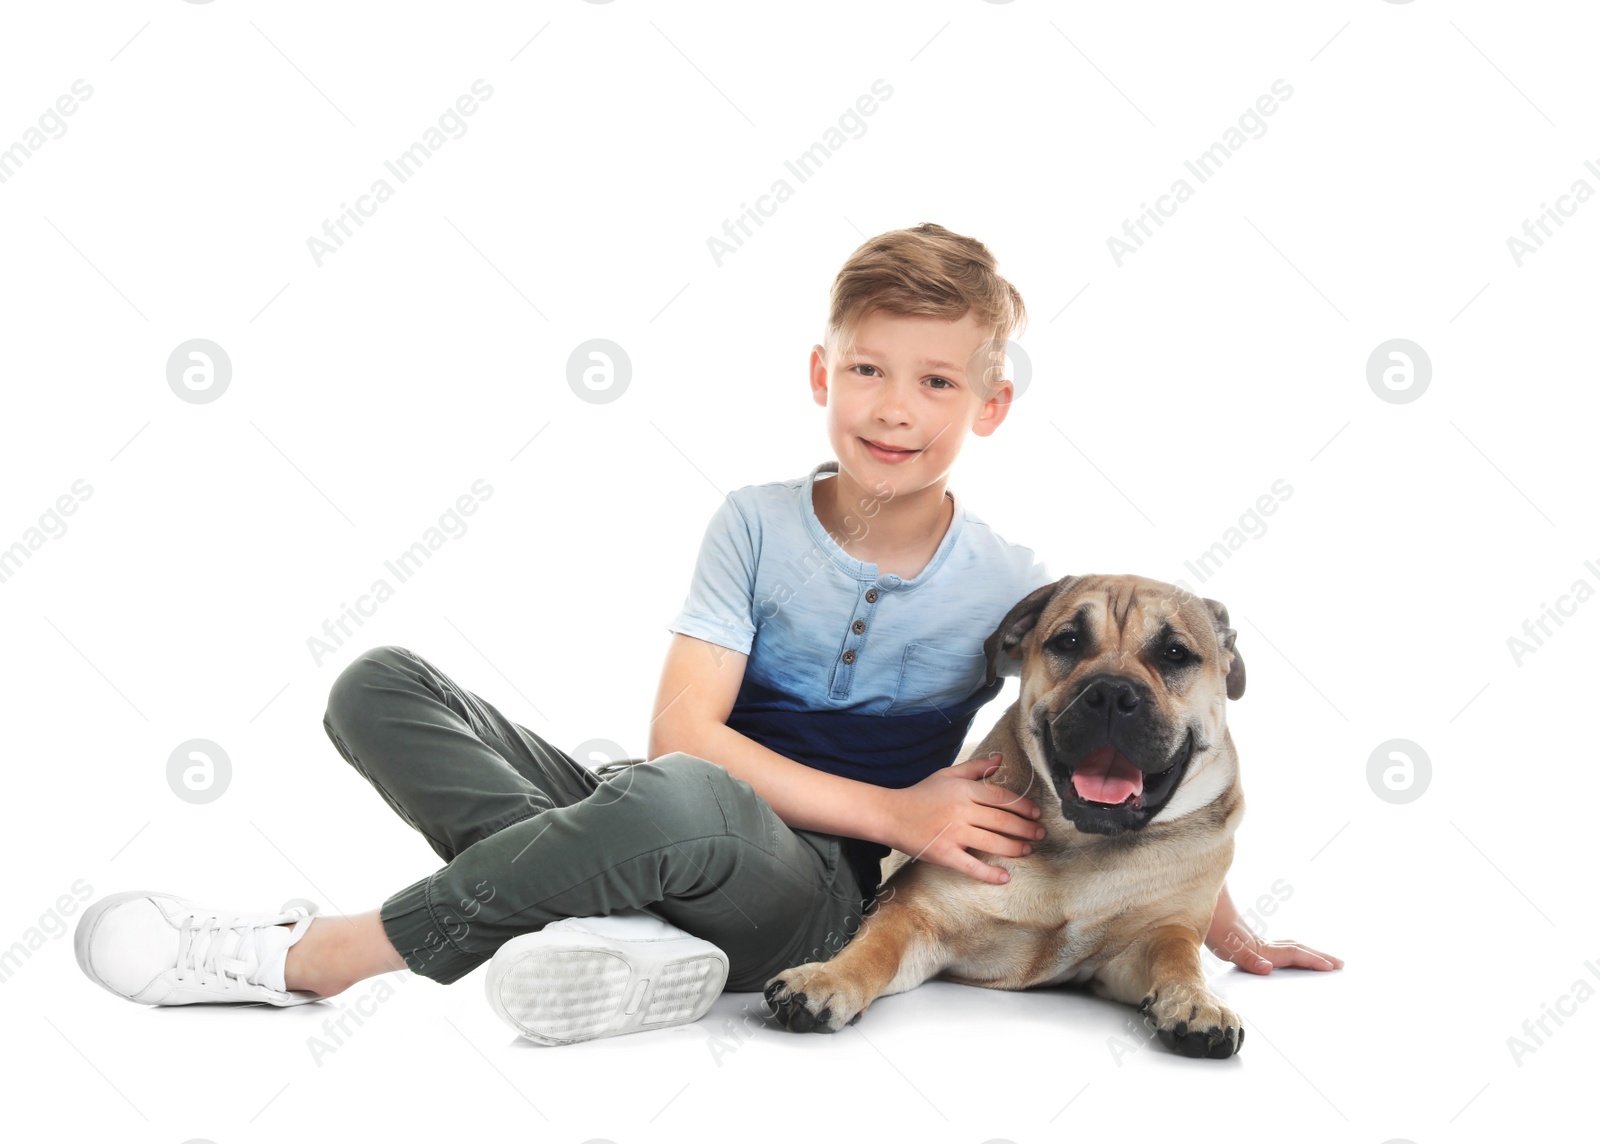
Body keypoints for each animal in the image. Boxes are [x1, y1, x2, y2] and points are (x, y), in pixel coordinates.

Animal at [761, 576, 1248, 1062]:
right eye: (1068, 641)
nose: (1111, 692)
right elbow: (876, 947)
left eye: (1175, 653)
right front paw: (827, 978)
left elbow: (1177, 953)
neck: (1079, 844)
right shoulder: (915, 912)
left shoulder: (1153, 935)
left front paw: (1196, 1001)